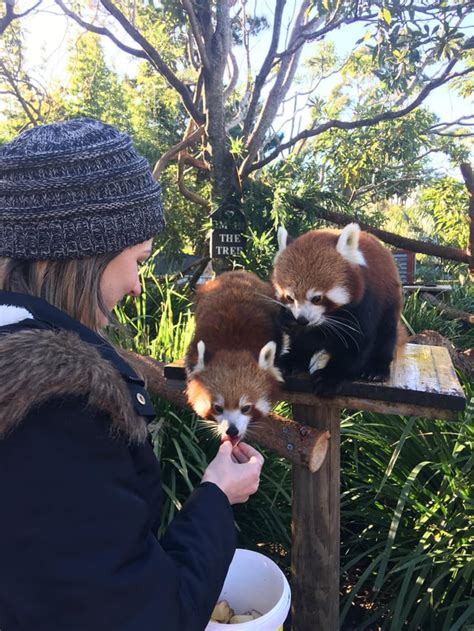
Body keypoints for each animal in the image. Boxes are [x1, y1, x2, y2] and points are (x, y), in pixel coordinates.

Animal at [270, 223, 404, 396]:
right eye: (289, 297)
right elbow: (300, 339)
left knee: (386, 335)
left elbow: (356, 345)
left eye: (317, 298)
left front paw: (330, 377)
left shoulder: (364, 306)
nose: (302, 320)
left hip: (390, 304)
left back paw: (377, 369)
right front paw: (292, 359)